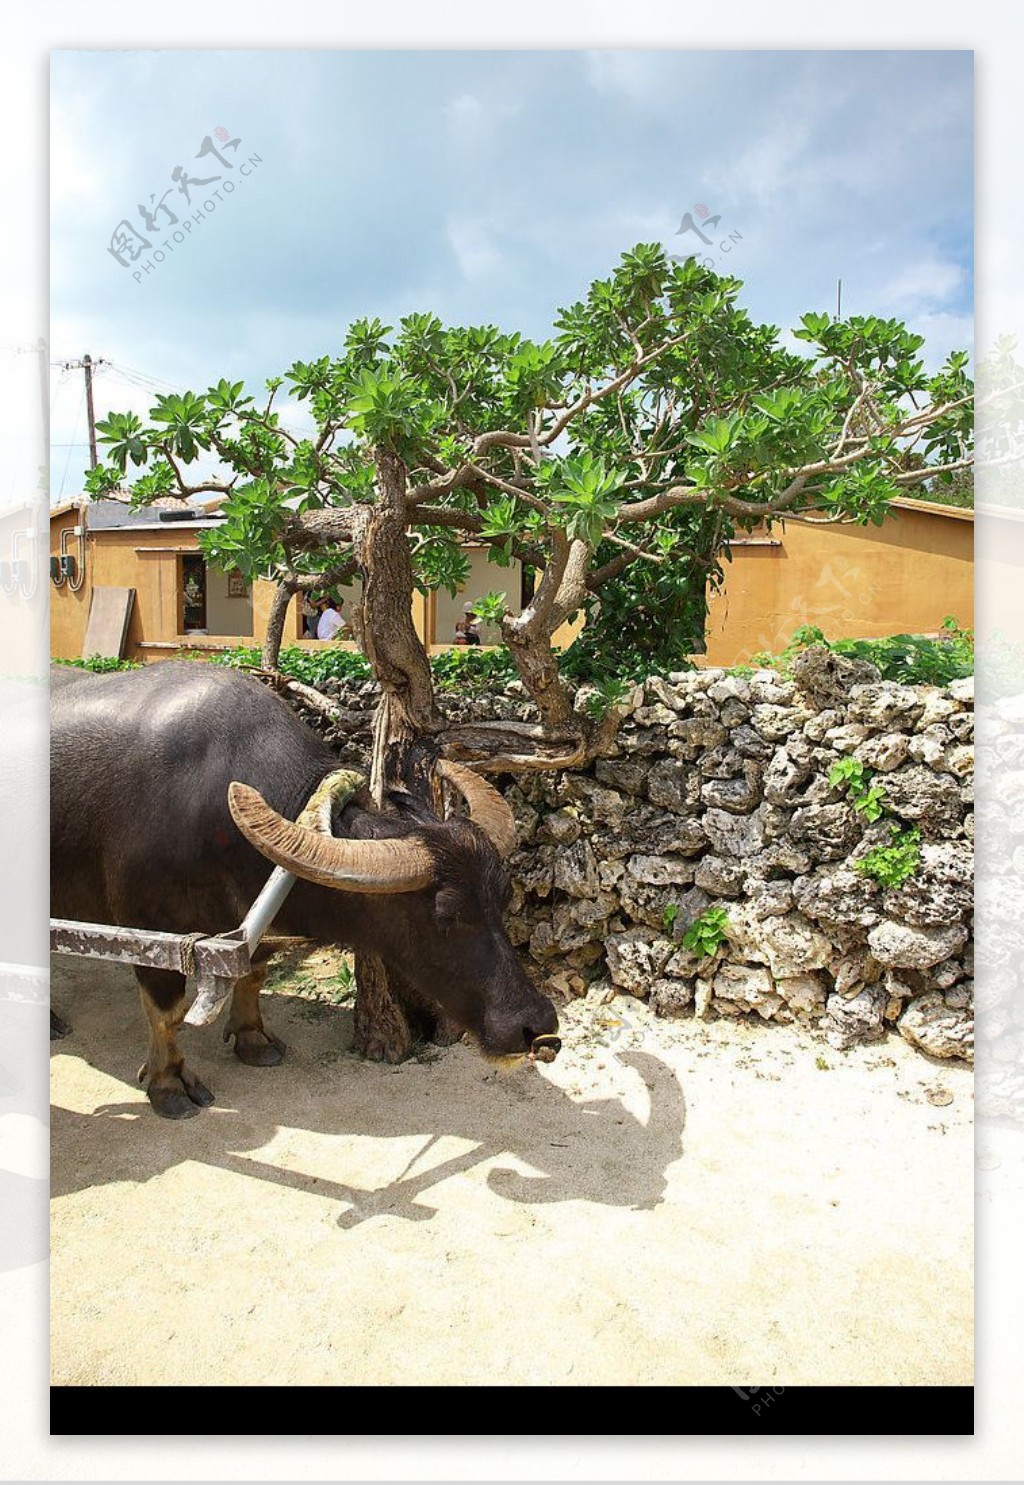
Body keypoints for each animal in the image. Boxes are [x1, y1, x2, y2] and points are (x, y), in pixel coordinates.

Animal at [48, 662, 558, 1116]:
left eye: (502, 900)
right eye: (448, 914)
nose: (536, 1026)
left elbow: (253, 974)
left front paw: (254, 1039)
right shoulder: (151, 935)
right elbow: (166, 1014)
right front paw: (168, 1084)